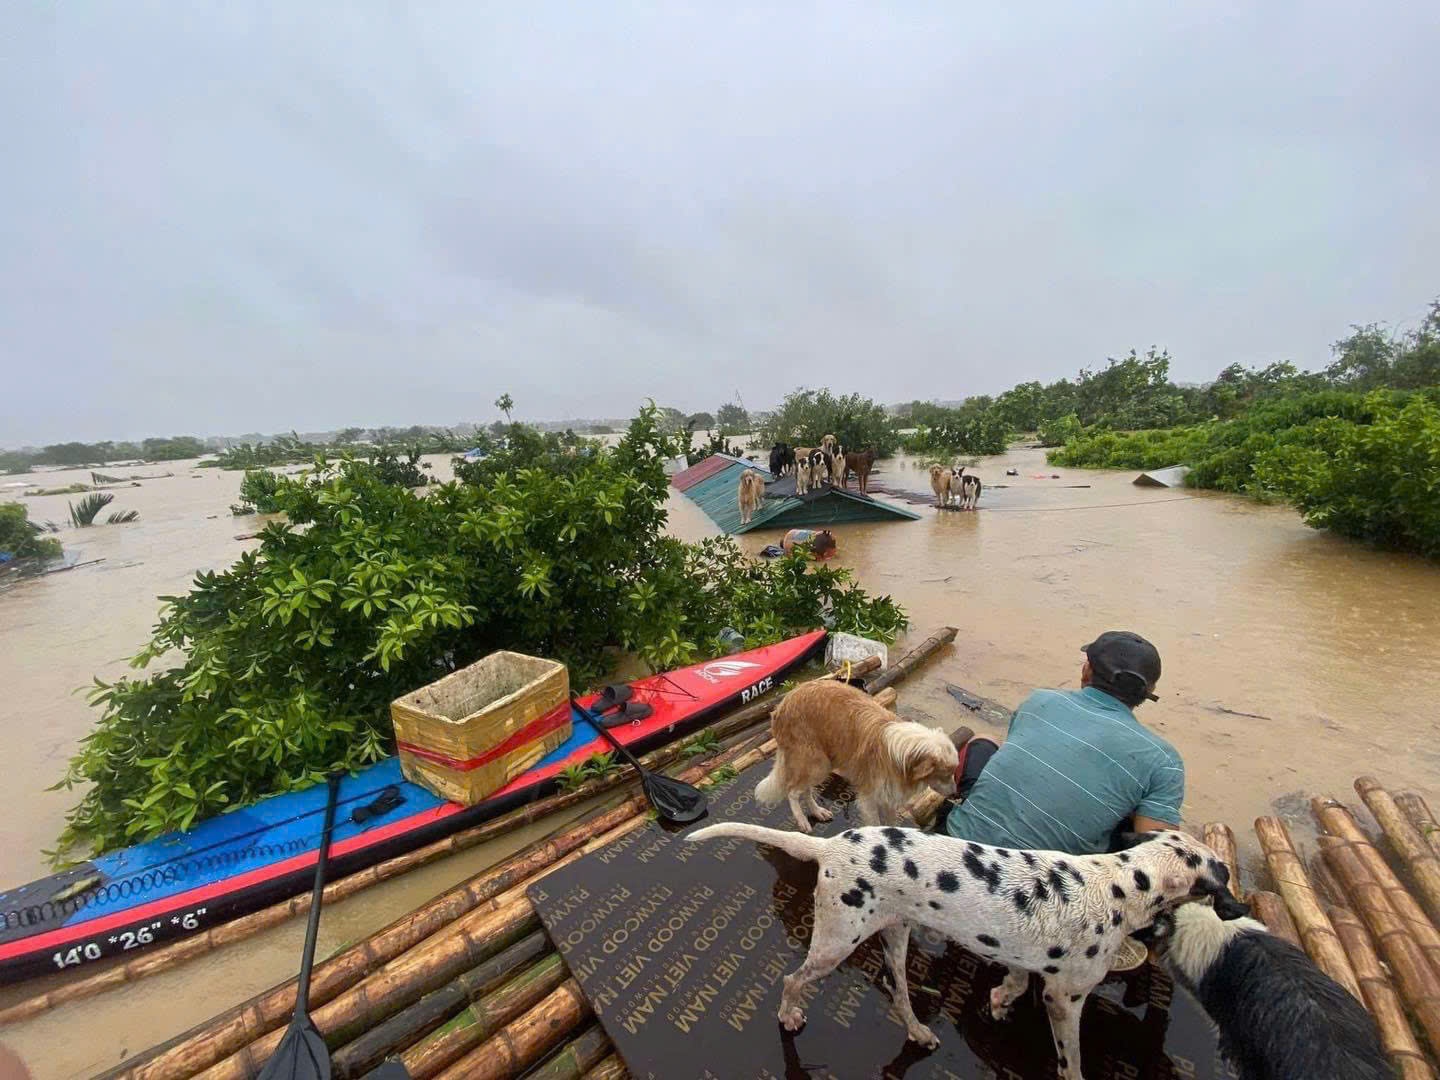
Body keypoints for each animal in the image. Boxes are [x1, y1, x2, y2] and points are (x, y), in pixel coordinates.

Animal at [685, 823, 1238, 1077]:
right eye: (1221, 873)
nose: (1232, 904)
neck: (1119, 885)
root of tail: (828, 845)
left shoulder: (1023, 963)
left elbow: (1012, 981)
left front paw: (998, 1002)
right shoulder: (1066, 1000)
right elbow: (1073, 1061)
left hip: (896, 939)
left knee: (899, 993)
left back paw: (917, 1031)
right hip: (835, 944)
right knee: (791, 980)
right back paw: (789, 1015)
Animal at [754, 679, 956, 835]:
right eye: (945, 774)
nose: (956, 794)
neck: (904, 753)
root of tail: (782, 704)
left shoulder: (889, 798)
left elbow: (890, 825)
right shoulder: (868, 800)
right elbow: (875, 826)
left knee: (805, 790)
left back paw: (817, 811)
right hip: (818, 764)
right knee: (792, 791)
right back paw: (802, 820)